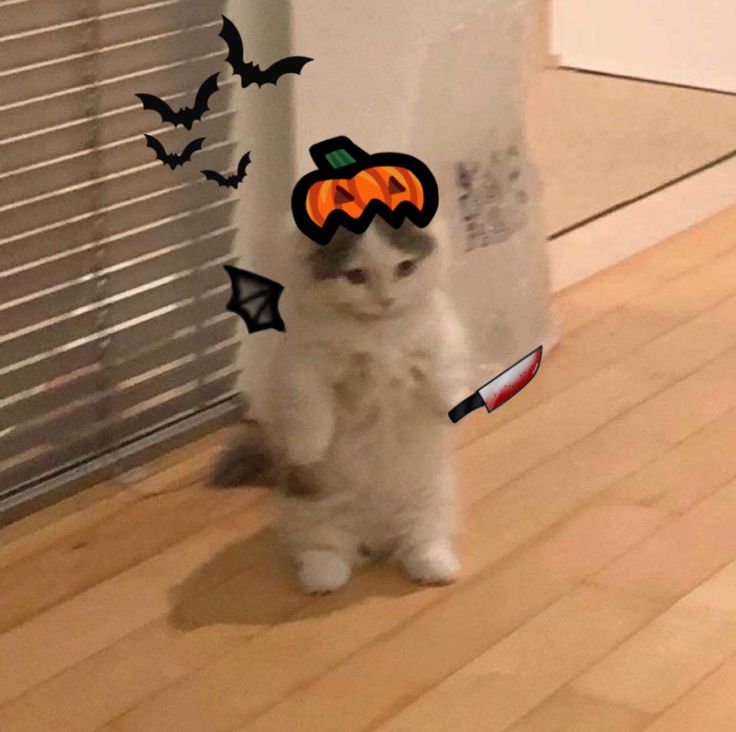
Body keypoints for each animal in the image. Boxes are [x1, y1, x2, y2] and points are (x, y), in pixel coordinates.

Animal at [224, 219, 472, 596]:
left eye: (405, 268)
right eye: (355, 275)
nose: (385, 300)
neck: (377, 331)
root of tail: (377, 538)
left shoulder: (441, 329)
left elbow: (444, 364)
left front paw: (451, 405)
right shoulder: (301, 360)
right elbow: (308, 404)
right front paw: (309, 447)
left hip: (433, 497)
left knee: (421, 540)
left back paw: (435, 567)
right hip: (310, 510)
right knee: (324, 549)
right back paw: (323, 578)